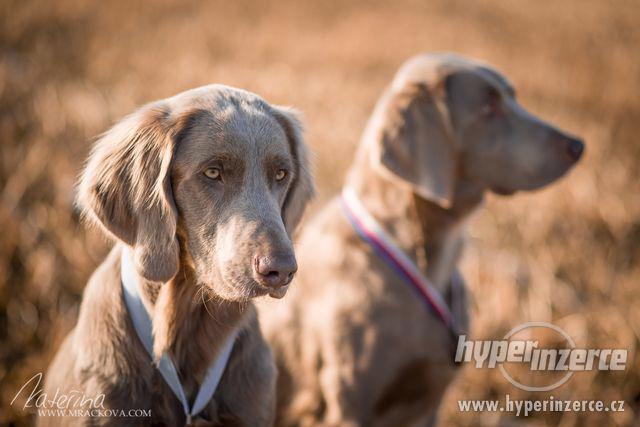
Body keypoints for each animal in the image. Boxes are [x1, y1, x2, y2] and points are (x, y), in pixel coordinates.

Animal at [260, 54, 584, 427]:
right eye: (488, 107)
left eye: (513, 97)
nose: (578, 145)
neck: (421, 256)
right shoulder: (349, 404)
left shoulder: (431, 398)